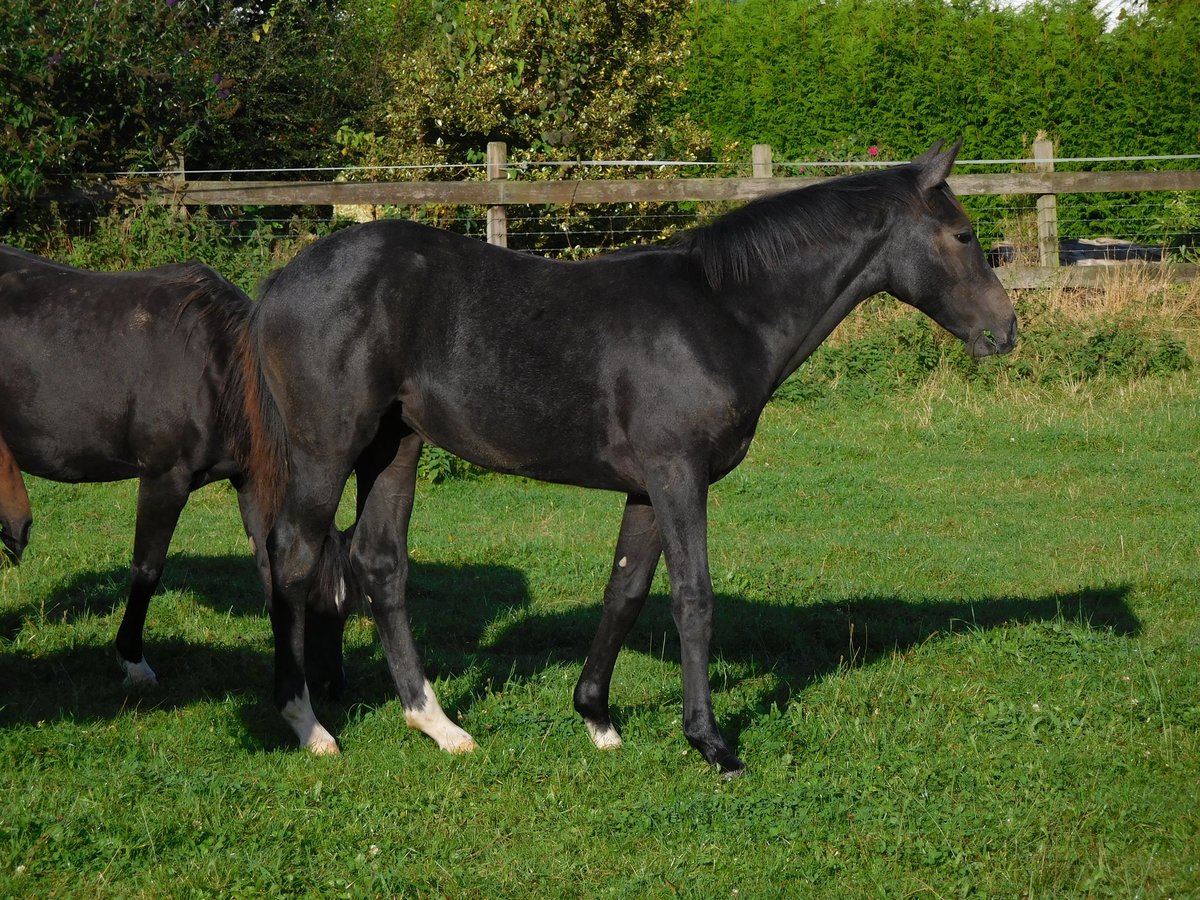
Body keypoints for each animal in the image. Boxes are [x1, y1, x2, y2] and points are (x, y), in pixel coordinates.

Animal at [0, 250, 352, 696]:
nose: (333, 685)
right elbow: (147, 571)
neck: (213, 370)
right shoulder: (164, 480)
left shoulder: (250, 483)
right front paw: (133, 661)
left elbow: (266, 563)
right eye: (312, 603)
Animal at [241, 137, 1012, 772]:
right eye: (962, 234)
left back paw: (439, 724)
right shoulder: (679, 475)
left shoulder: (647, 487)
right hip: (326, 449)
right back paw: (309, 725)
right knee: (295, 556)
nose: (1005, 331)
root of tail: (278, 284)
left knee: (378, 563)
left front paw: (597, 718)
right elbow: (693, 598)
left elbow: (627, 591)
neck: (721, 312)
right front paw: (711, 742)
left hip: (394, 445)